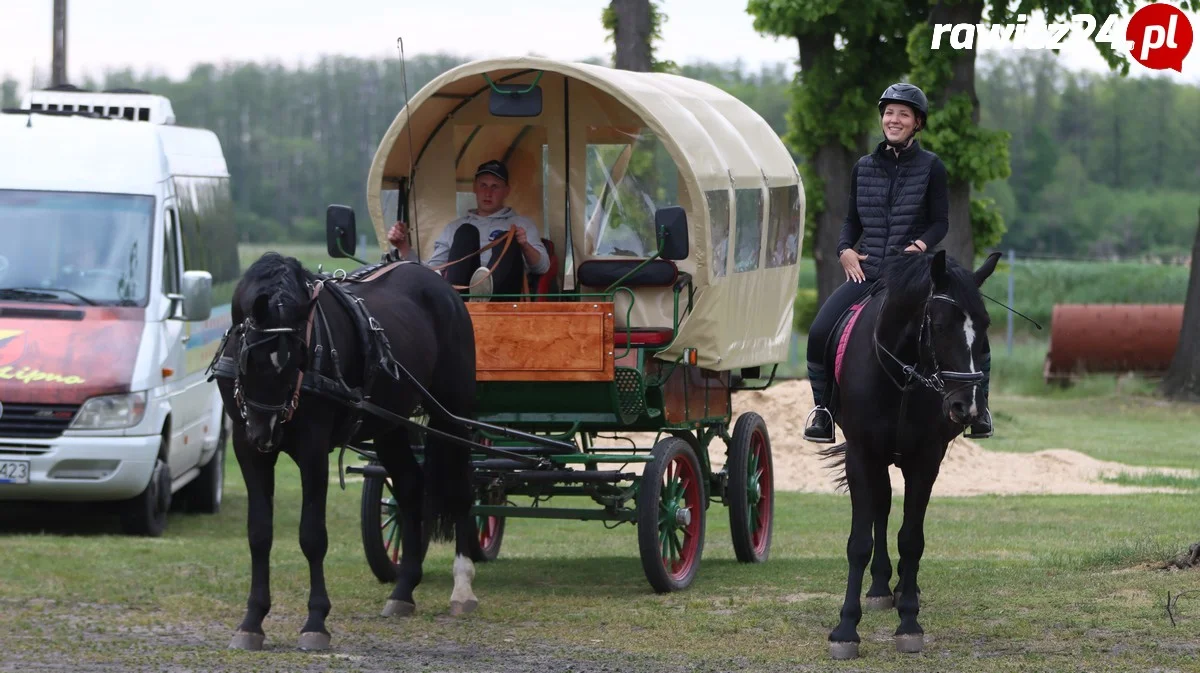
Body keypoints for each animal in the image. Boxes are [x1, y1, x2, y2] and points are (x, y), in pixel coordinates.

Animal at [208, 251, 480, 652]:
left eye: (300, 356)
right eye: (249, 359)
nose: (266, 432)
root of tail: (439, 284)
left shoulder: (313, 449)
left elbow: (312, 536)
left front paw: (315, 622)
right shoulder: (246, 448)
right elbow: (258, 533)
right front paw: (252, 622)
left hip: (453, 412)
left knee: (460, 488)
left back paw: (462, 586)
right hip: (392, 423)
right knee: (410, 487)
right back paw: (403, 589)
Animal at [820, 247, 998, 657]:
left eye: (984, 325)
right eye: (941, 324)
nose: (967, 406)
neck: (902, 376)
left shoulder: (926, 460)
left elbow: (912, 539)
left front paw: (909, 623)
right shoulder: (862, 455)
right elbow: (860, 542)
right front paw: (846, 629)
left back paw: (902, 588)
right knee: (882, 508)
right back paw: (880, 588)